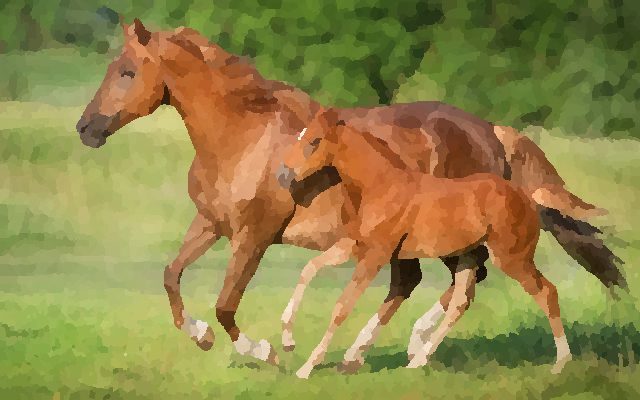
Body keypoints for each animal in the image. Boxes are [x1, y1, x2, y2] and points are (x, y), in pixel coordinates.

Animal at [76, 19, 624, 372]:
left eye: (127, 71)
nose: (85, 128)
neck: (242, 136)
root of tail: (490, 130)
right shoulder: (212, 224)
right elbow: (171, 276)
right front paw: (203, 337)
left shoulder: (254, 234)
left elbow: (226, 303)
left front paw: (266, 350)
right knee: (425, 282)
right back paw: (378, 352)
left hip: (451, 235)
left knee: (462, 281)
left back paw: (407, 348)